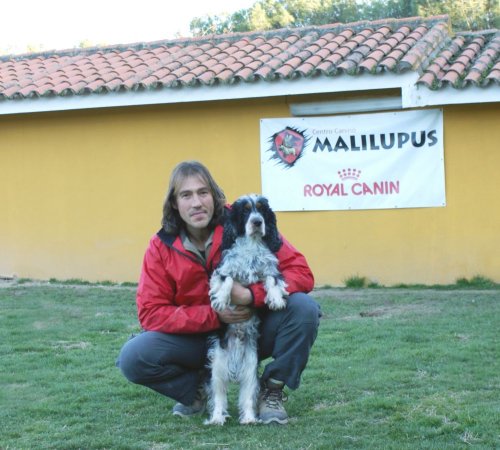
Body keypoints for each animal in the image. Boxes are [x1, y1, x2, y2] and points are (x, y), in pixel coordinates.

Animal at [204, 194, 290, 426]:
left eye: (261, 210)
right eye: (244, 210)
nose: (257, 222)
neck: (251, 245)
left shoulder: (268, 268)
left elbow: (272, 278)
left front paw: (276, 299)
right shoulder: (223, 269)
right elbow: (227, 279)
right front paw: (221, 300)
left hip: (250, 367)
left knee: (247, 396)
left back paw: (250, 418)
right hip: (217, 367)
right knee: (219, 396)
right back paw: (217, 418)